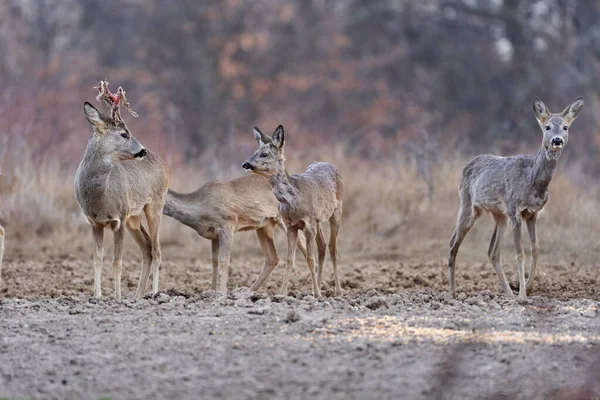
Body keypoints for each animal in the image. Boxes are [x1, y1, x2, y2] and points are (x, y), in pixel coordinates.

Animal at [75, 81, 170, 300]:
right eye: (124, 134)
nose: (142, 150)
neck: (100, 198)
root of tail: (163, 164)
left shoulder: (119, 217)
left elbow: (117, 262)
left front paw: (117, 297)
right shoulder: (94, 222)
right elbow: (97, 259)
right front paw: (97, 296)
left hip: (155, 205)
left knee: (157, 250)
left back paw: (154, 294)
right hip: (133, 218)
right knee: (147, 248)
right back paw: (137, 295)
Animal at [163, 175, 308, 294]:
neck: (201, 207)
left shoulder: (227, 225)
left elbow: (224, 260)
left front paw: (222, 293)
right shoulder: (214, 235)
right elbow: (214, 261)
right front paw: (212, 291)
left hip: (284, 218)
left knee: (302, 244)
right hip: (264, 225)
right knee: (272, 258)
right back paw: (248, 291)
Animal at [239, 125, 342, 296]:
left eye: (264, 154)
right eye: (255, 151)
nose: (245, 164)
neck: (295, 199)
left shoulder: (309, 223)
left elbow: (309, 258)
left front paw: (317, 295)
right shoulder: (290, 226)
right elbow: (290, 260)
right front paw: (282, 293)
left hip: (336, 211)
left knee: (333, 248)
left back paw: (337, 291)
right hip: (318, 220)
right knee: (322, 246)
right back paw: (319, 286)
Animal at [448, 97, 584, 298]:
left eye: (565, 127)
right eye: (547, 127)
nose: (557, 140)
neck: (532, 182)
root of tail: (467, 165)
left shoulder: (533, 214)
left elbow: (535, 249)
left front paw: (528, 288)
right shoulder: (514, 211)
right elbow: (520, 254)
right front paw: (523, 295)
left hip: (499, 215)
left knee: (492, 251)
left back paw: (508, 294)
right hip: (468, 205)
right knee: (453, 244)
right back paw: (453, 293)